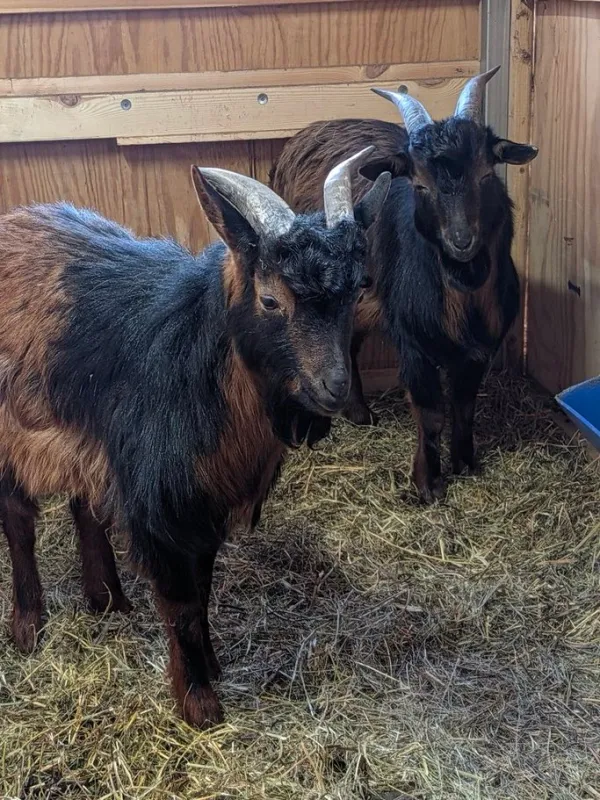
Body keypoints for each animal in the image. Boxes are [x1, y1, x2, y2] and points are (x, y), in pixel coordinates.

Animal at [0, 150, 390, 728]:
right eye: (270, 299)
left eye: (358, 287)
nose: (335, 387)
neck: (197, 359)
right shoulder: (164, 502)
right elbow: (181, 600)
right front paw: (199, 702)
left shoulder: (203, 499)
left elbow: (202, 588)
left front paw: (211, 664)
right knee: (19, 520)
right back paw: (29, 624)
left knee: (83, 505)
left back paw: (107, 599)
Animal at [270, 67, 538, 502]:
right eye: (420, 185)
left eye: (486, 174)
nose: (461, 240)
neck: (463, 293)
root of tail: (309, 131)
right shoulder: (412, 339)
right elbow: (430, 413)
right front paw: (427, 483)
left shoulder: (479, 348)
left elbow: (464, 406)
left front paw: (466, 463)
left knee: (350, 343)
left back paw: (360, 415)